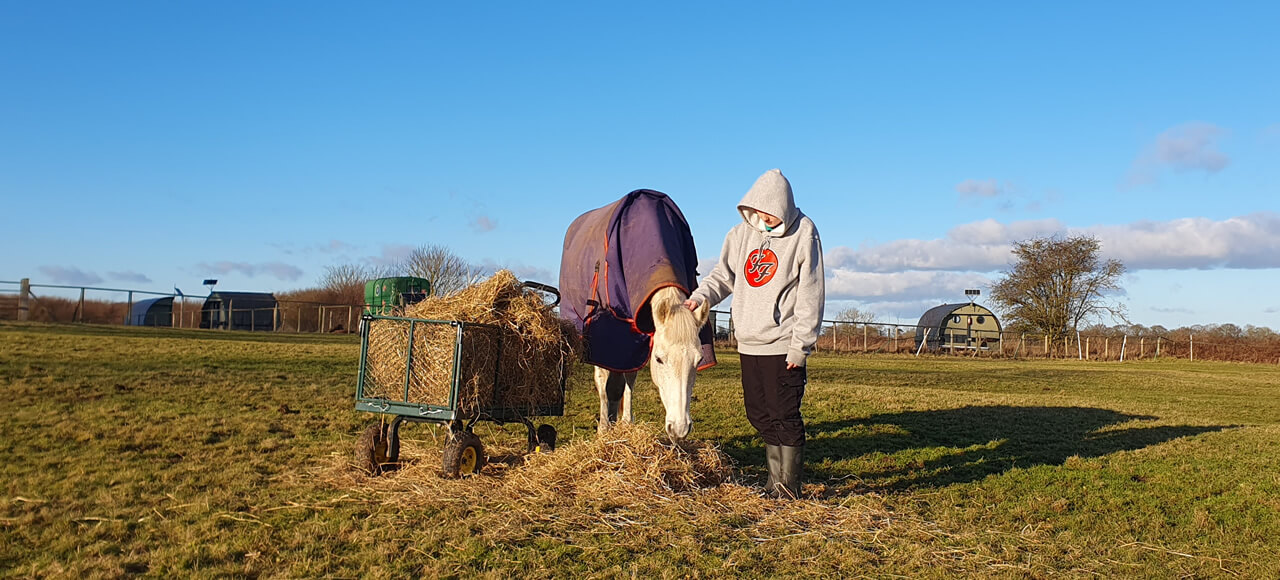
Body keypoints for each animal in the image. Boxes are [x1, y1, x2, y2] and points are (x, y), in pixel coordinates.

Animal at [559, 190, 716, 440]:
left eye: (699, 360)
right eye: (659, 359)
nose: (679, 429)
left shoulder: (638, 339)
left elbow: (628, 380)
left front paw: (625, 423)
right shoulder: (611, 338)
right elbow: (607, 384)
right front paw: (605, 430)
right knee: (602, 379)